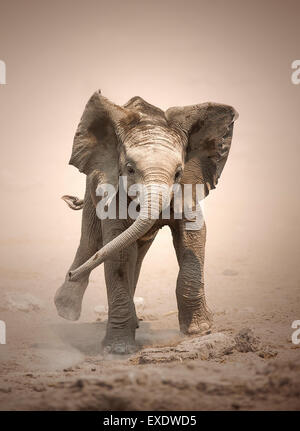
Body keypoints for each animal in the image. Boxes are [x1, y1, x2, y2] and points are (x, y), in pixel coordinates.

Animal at [53, 90, 237, 354]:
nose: (71, 275)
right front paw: (118, 350)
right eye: (129, 169)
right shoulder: (112, 187)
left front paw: (199, 331)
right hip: (91, 186)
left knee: (134, 253)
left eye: (178, 173)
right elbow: (117, 252)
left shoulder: (191, 184)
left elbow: (193, 234)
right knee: (92, 241)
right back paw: (66, 310)